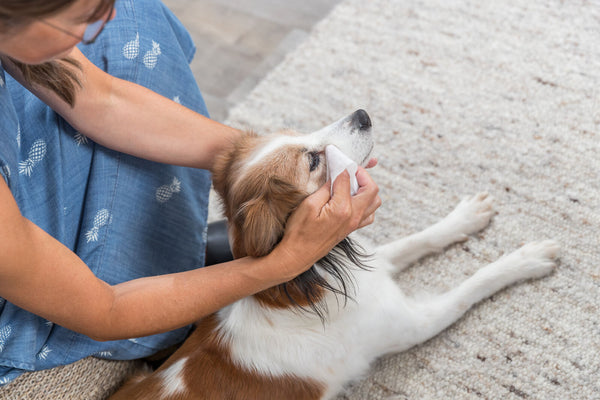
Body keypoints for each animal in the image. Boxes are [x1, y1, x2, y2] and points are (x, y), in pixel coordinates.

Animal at [110, 109, 560, 400]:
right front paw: (527, 259)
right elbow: (472, 286)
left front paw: (466, 217)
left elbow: (419, 240)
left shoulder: (376, 268)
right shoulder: (412, 323)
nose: (362, 113)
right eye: (312, 161)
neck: (311, 279)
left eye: (295, 130)